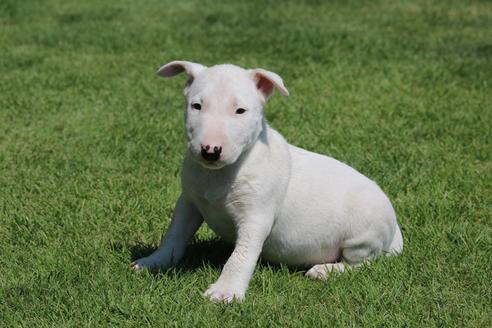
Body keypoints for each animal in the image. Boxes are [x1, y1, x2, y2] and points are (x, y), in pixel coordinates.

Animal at [132, 60, 404, 302]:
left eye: (240, 111)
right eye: (196, 106)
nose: (210, 151)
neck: (221, 173)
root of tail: (395, 234)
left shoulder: (256, 217)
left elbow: (241, 256)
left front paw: (226, 291)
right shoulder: (188, 202)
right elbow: (174, 235)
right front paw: (153, 262)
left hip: (363, 234)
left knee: (361, 262)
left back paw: (325, 270)